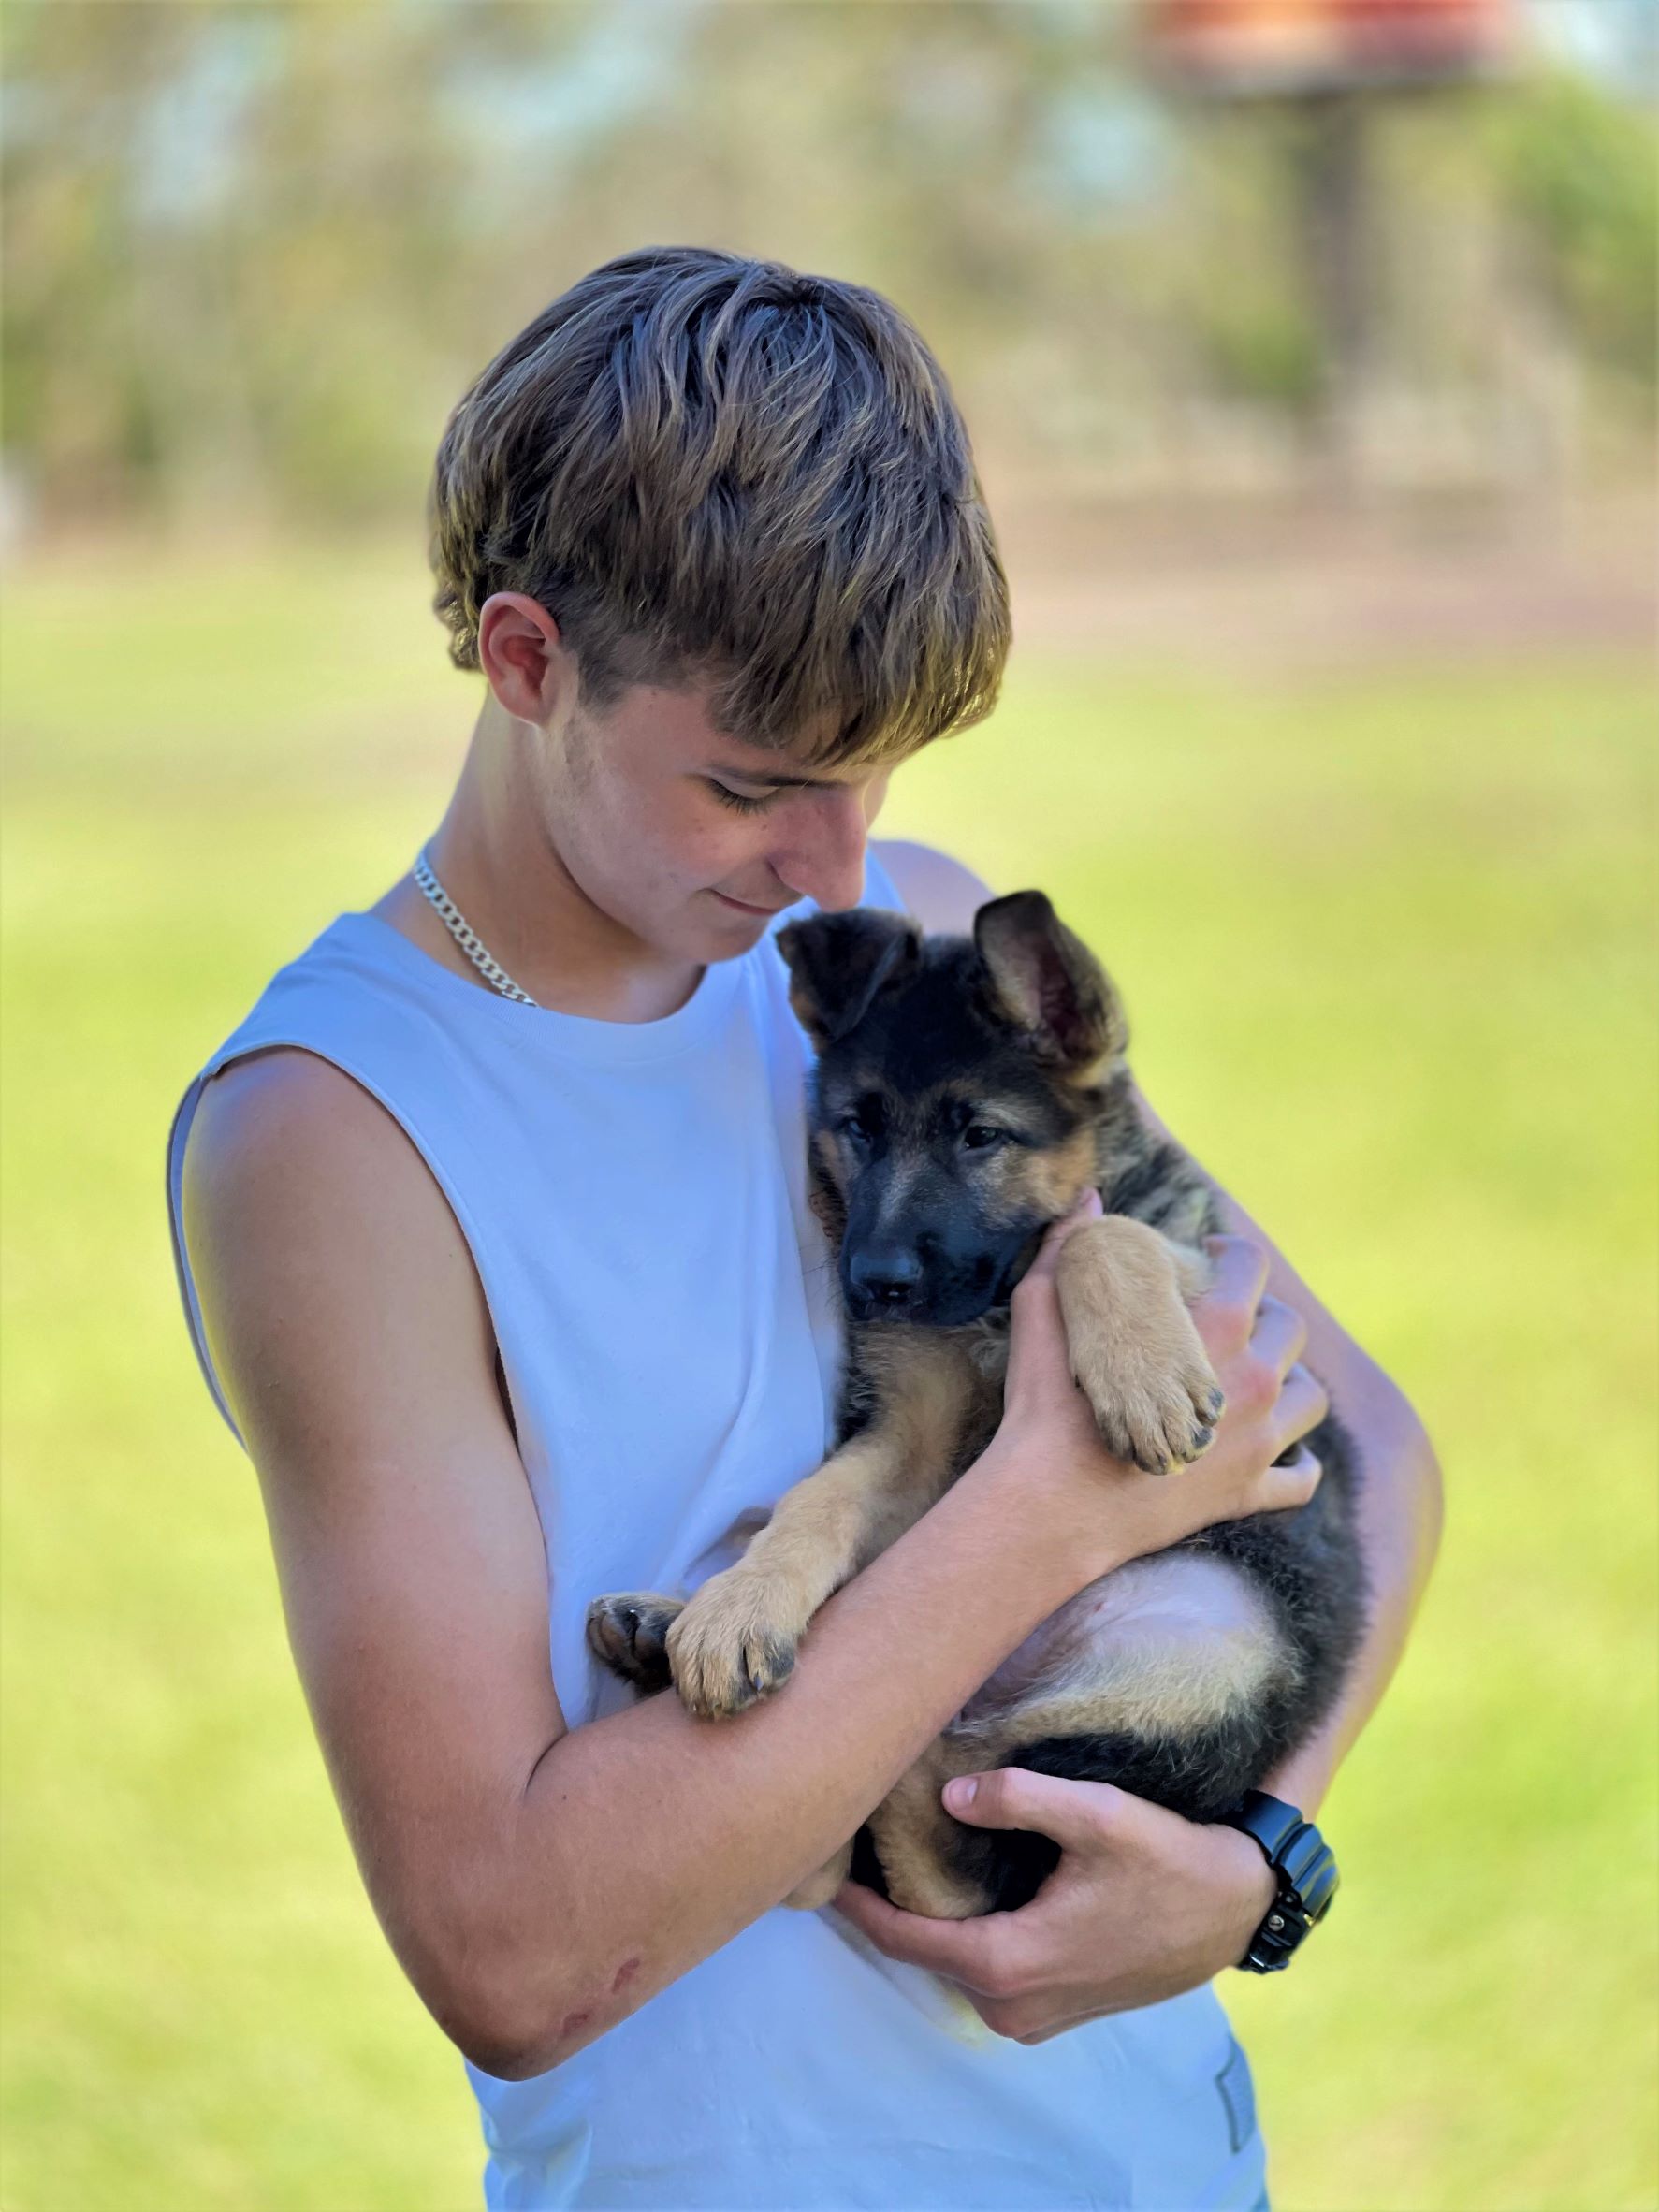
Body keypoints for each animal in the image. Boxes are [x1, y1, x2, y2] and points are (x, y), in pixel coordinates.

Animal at [592, 897, 1371, 1919]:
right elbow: (816, 1503)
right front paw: (741, 1610)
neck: (992, 1312)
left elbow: (1096, 1235)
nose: (874, 1284)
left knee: (953, 1819)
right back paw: (662, 1627)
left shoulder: (1211, 1271)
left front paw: (1144, 1377)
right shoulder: (910, 1440)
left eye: (982, 1136)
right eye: (857, 1127)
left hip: (1207, 1657)